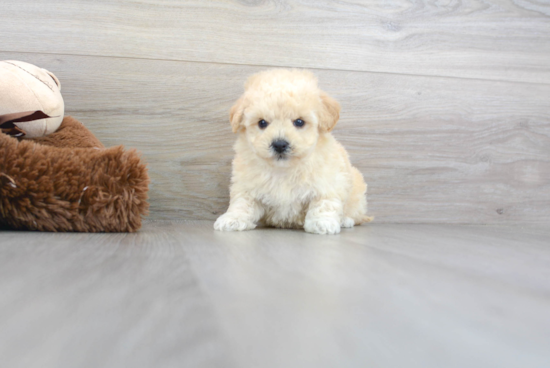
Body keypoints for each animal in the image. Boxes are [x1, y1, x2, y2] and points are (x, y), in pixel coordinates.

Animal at [213, 69, 374, 234]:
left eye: (299, 122)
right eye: (262, 123)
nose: (279, 144)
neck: (284, 169)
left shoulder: (328, 182)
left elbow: (324, 203)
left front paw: (322, 222)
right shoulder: (246, 185)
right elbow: (242, 202)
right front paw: (233, 219)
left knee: (355, 213)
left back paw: (346, 220)